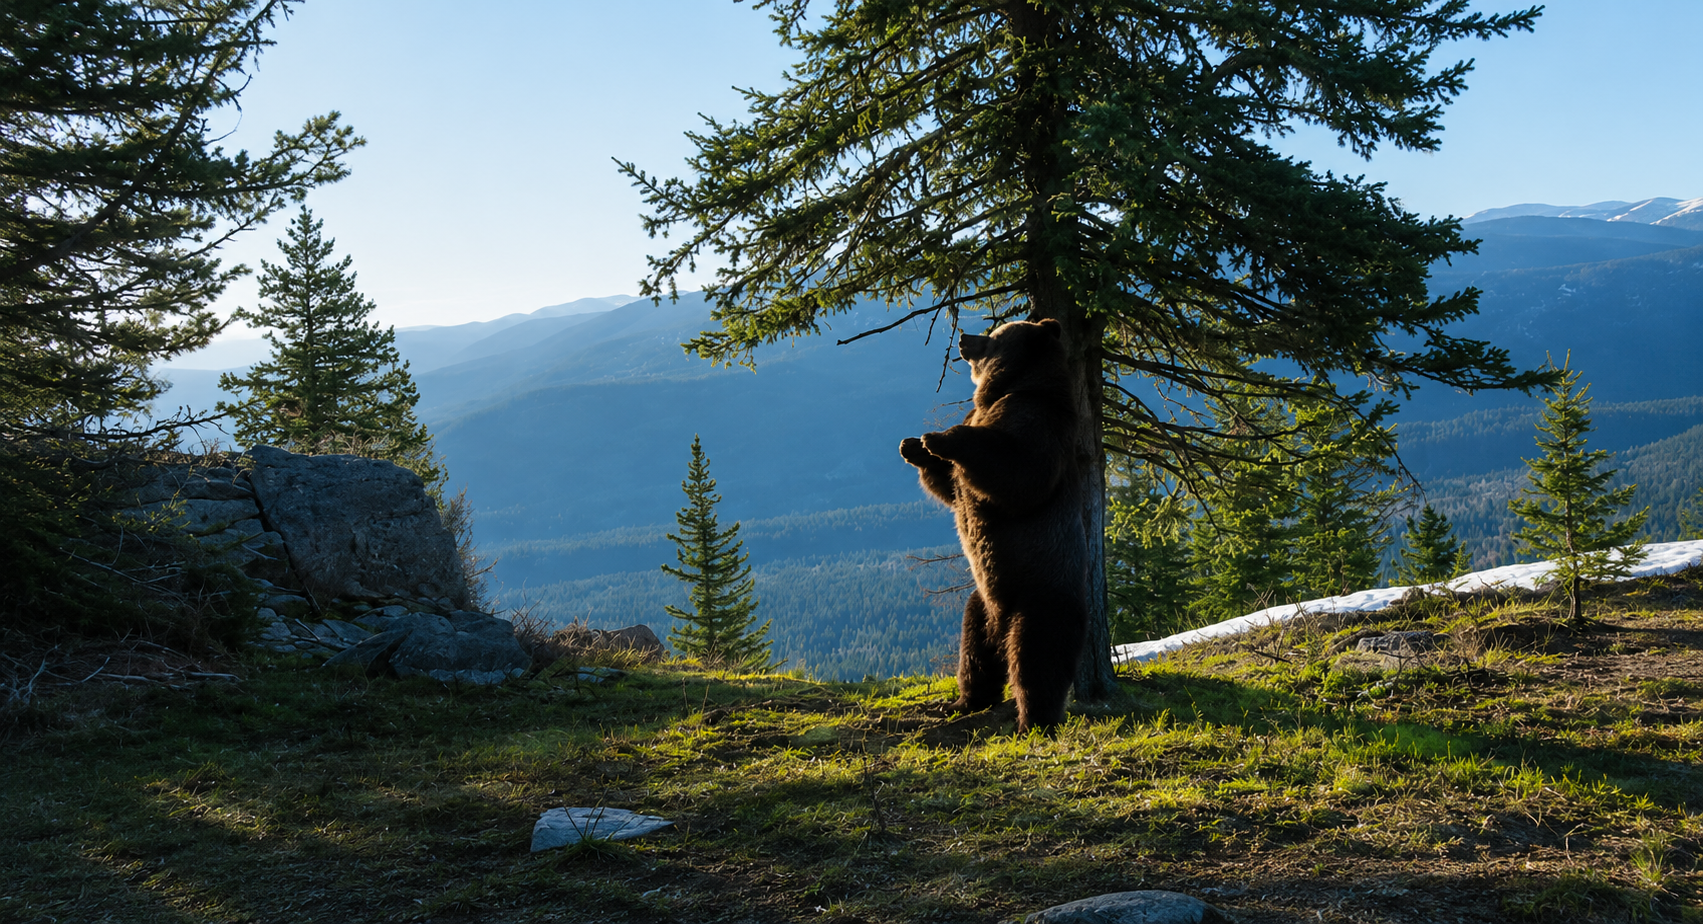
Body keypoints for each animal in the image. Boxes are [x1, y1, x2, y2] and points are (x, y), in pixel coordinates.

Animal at [899, 317, 1091, 732]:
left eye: (994, 333)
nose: (963, 337)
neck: (1008, 388)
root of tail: (1001, 623)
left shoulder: (1035, 420)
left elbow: (1019, 470)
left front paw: (939, 437)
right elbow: (950, 488)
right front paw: (914, 445)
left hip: (1040, 593)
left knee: (1038, 656)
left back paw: (1032, 718)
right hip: (981, 603)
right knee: (975, 651)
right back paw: (964, 701)